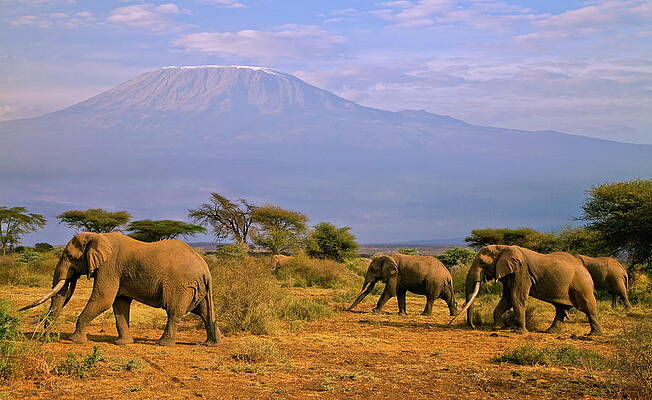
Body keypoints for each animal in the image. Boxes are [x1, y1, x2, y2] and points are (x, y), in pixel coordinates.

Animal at [20, 232, 220, 346]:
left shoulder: (109, 267)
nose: (45, 338)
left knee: (174, 312)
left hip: (180, 285)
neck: (98, 236)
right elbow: (119, 303)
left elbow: (104, 299)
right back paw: (213, 343)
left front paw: (74, 341)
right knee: (204, 312)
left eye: (69, 256)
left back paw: (163, 344)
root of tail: (206, 270)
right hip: (196, 287)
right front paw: (123, 343)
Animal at [451, 245, 603, 335]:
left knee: (588, 307)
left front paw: (520, 332)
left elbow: (516, 297)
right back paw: (551, 332)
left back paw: (593, 335)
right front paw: (498, 328)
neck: (503, 248)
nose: (473, 327)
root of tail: (584, 267)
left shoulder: (521, 271)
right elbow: (507, 298)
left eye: (482, 262)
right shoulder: (510, 274)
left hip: (582, 284)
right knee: (560, 309)